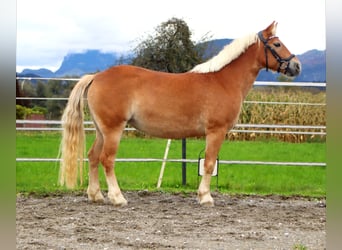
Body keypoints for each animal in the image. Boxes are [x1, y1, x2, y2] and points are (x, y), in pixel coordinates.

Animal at [60, 21, 300, 205]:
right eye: (277, 44)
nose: (296, 66)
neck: (223, 80)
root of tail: (96, 77)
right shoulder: (216, 131)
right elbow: (209, 163)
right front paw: (205, 197)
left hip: (101, 130)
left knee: (93, 157)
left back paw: (96, 195)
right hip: (113, 130)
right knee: (107, 159)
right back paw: (117, 198)